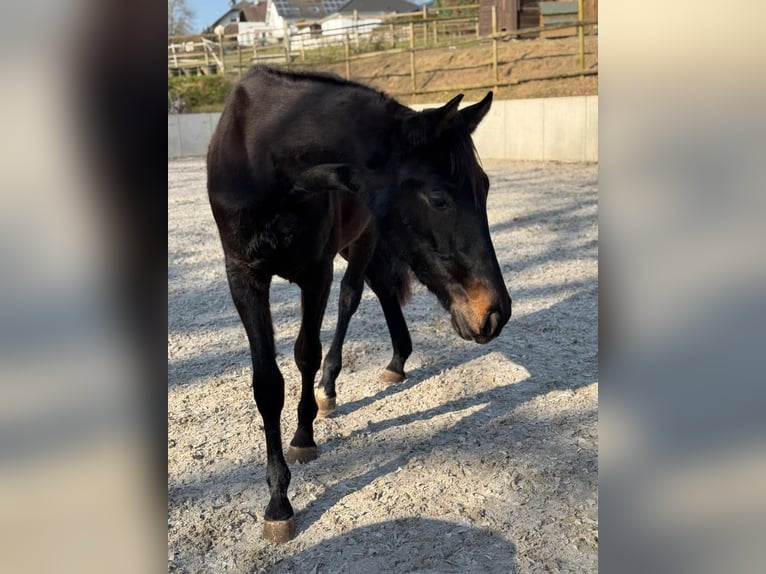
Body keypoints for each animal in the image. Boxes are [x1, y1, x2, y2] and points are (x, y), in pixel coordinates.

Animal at [206, 66, 512, 543]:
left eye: (485, 187)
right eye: (439, 198)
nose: (495, 313)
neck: (264, 161)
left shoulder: (316, 273)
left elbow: (306, 354)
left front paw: (304, 435)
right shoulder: (243, 277)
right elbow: (267, 383)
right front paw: (278, 501)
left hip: (362, 240)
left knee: (356, 297)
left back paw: (352, 378)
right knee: (381, 288)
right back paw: (392, 361)